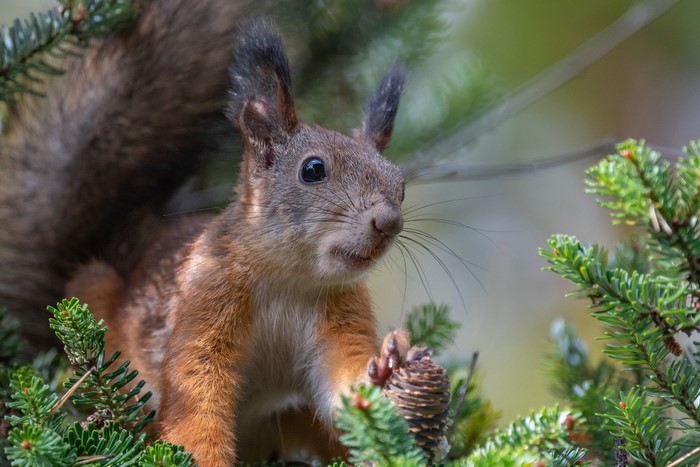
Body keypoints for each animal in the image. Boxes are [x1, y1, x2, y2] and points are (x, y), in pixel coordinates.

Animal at [0, 0, 409, 464]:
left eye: (400, 184)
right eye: (313, 170)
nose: (387, 223)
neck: (290, 279)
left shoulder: (341, 317)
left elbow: (342, 383)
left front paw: (384, 370)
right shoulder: (205, 300)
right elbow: (195, 394)